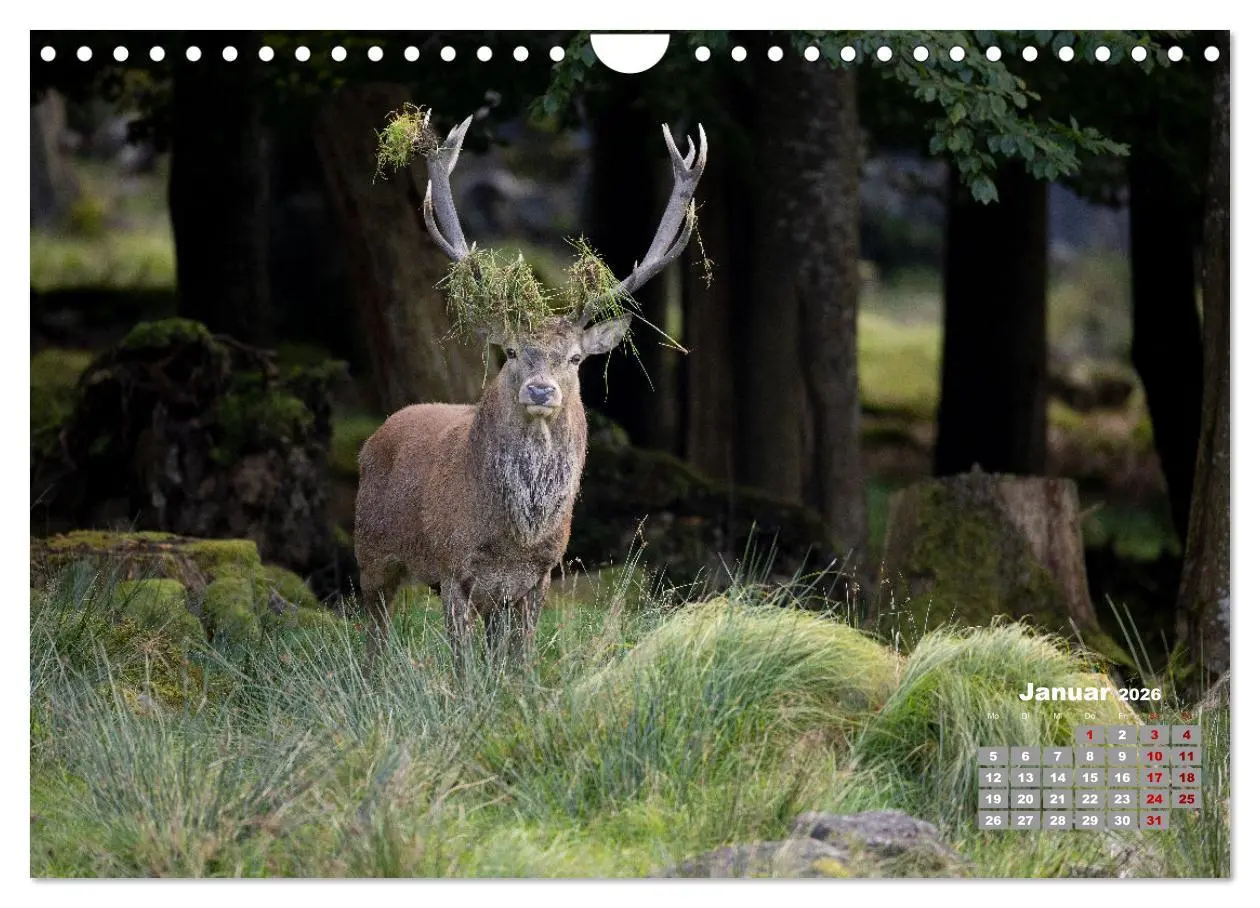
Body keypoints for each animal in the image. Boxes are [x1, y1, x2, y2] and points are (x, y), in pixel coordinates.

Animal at [354, 112, 707, 671]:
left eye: (577, 359)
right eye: (513, 351)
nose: (541, 391)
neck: (513, 538)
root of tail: (377, 434)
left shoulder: (538, 577)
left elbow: (519, 665)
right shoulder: (454, 569)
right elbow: (463, 669)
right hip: (370, 553)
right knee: (376, 631)